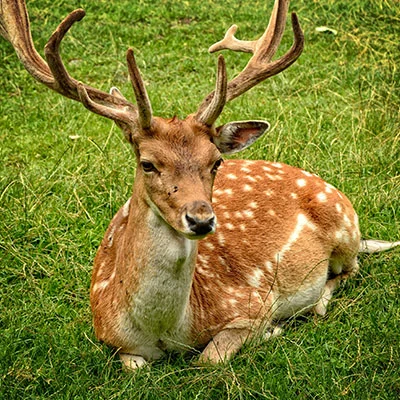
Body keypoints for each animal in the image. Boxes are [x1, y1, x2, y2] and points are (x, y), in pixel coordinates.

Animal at [1, 0, 398, 372]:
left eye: (215, 161)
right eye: (147, 163)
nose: (201, 219)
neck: (166, 330)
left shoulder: (253, 302)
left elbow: (209, 359)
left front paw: (273, 331)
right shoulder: (110, 336)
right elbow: (134, 367)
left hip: (343, 226)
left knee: (349, 270)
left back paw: (318, 304)